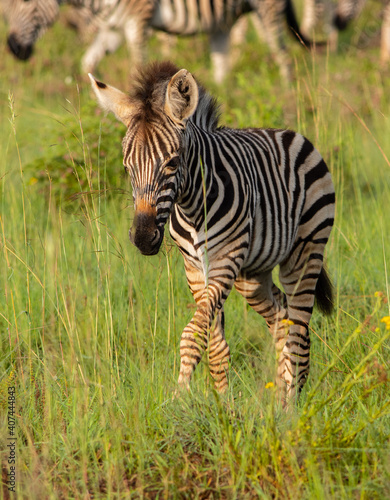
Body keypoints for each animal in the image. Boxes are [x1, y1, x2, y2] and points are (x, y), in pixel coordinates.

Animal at [3, 0, 314, 83]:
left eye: (27, 2)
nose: (13, 50)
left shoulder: (137, 19)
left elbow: (136, 69)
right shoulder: (113, 29)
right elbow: (87, 64)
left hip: (267, 9)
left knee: (283, 57)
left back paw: (287, 99)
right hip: (226, 21)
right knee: (223, 68)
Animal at [88, 61, 336, 406]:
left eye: (172, 163)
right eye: (127, 167)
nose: (143, 237)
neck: (191, 206)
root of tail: (286, 132)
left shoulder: (223, 261)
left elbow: (192, 335)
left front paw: (178, 397)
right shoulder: (195, 268)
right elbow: (213, 341)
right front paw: (222, 404)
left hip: (305, 251)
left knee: (298, 331)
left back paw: (291, 408)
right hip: (252, 275)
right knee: (282, 319)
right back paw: (277, 399)